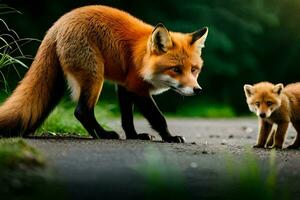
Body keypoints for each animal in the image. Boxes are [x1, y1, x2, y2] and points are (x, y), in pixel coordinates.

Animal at [0, 4, 207, 142]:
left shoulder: (125, 86)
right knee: (81, 111)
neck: (141, 58)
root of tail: (56, 26)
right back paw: (103, 135)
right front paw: (170, 137)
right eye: (176, 69)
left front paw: (133, 136)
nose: (198, 90)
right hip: (94, 76)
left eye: (194, 69)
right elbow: (158, 118)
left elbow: (127, 118)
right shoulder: (137, 87)